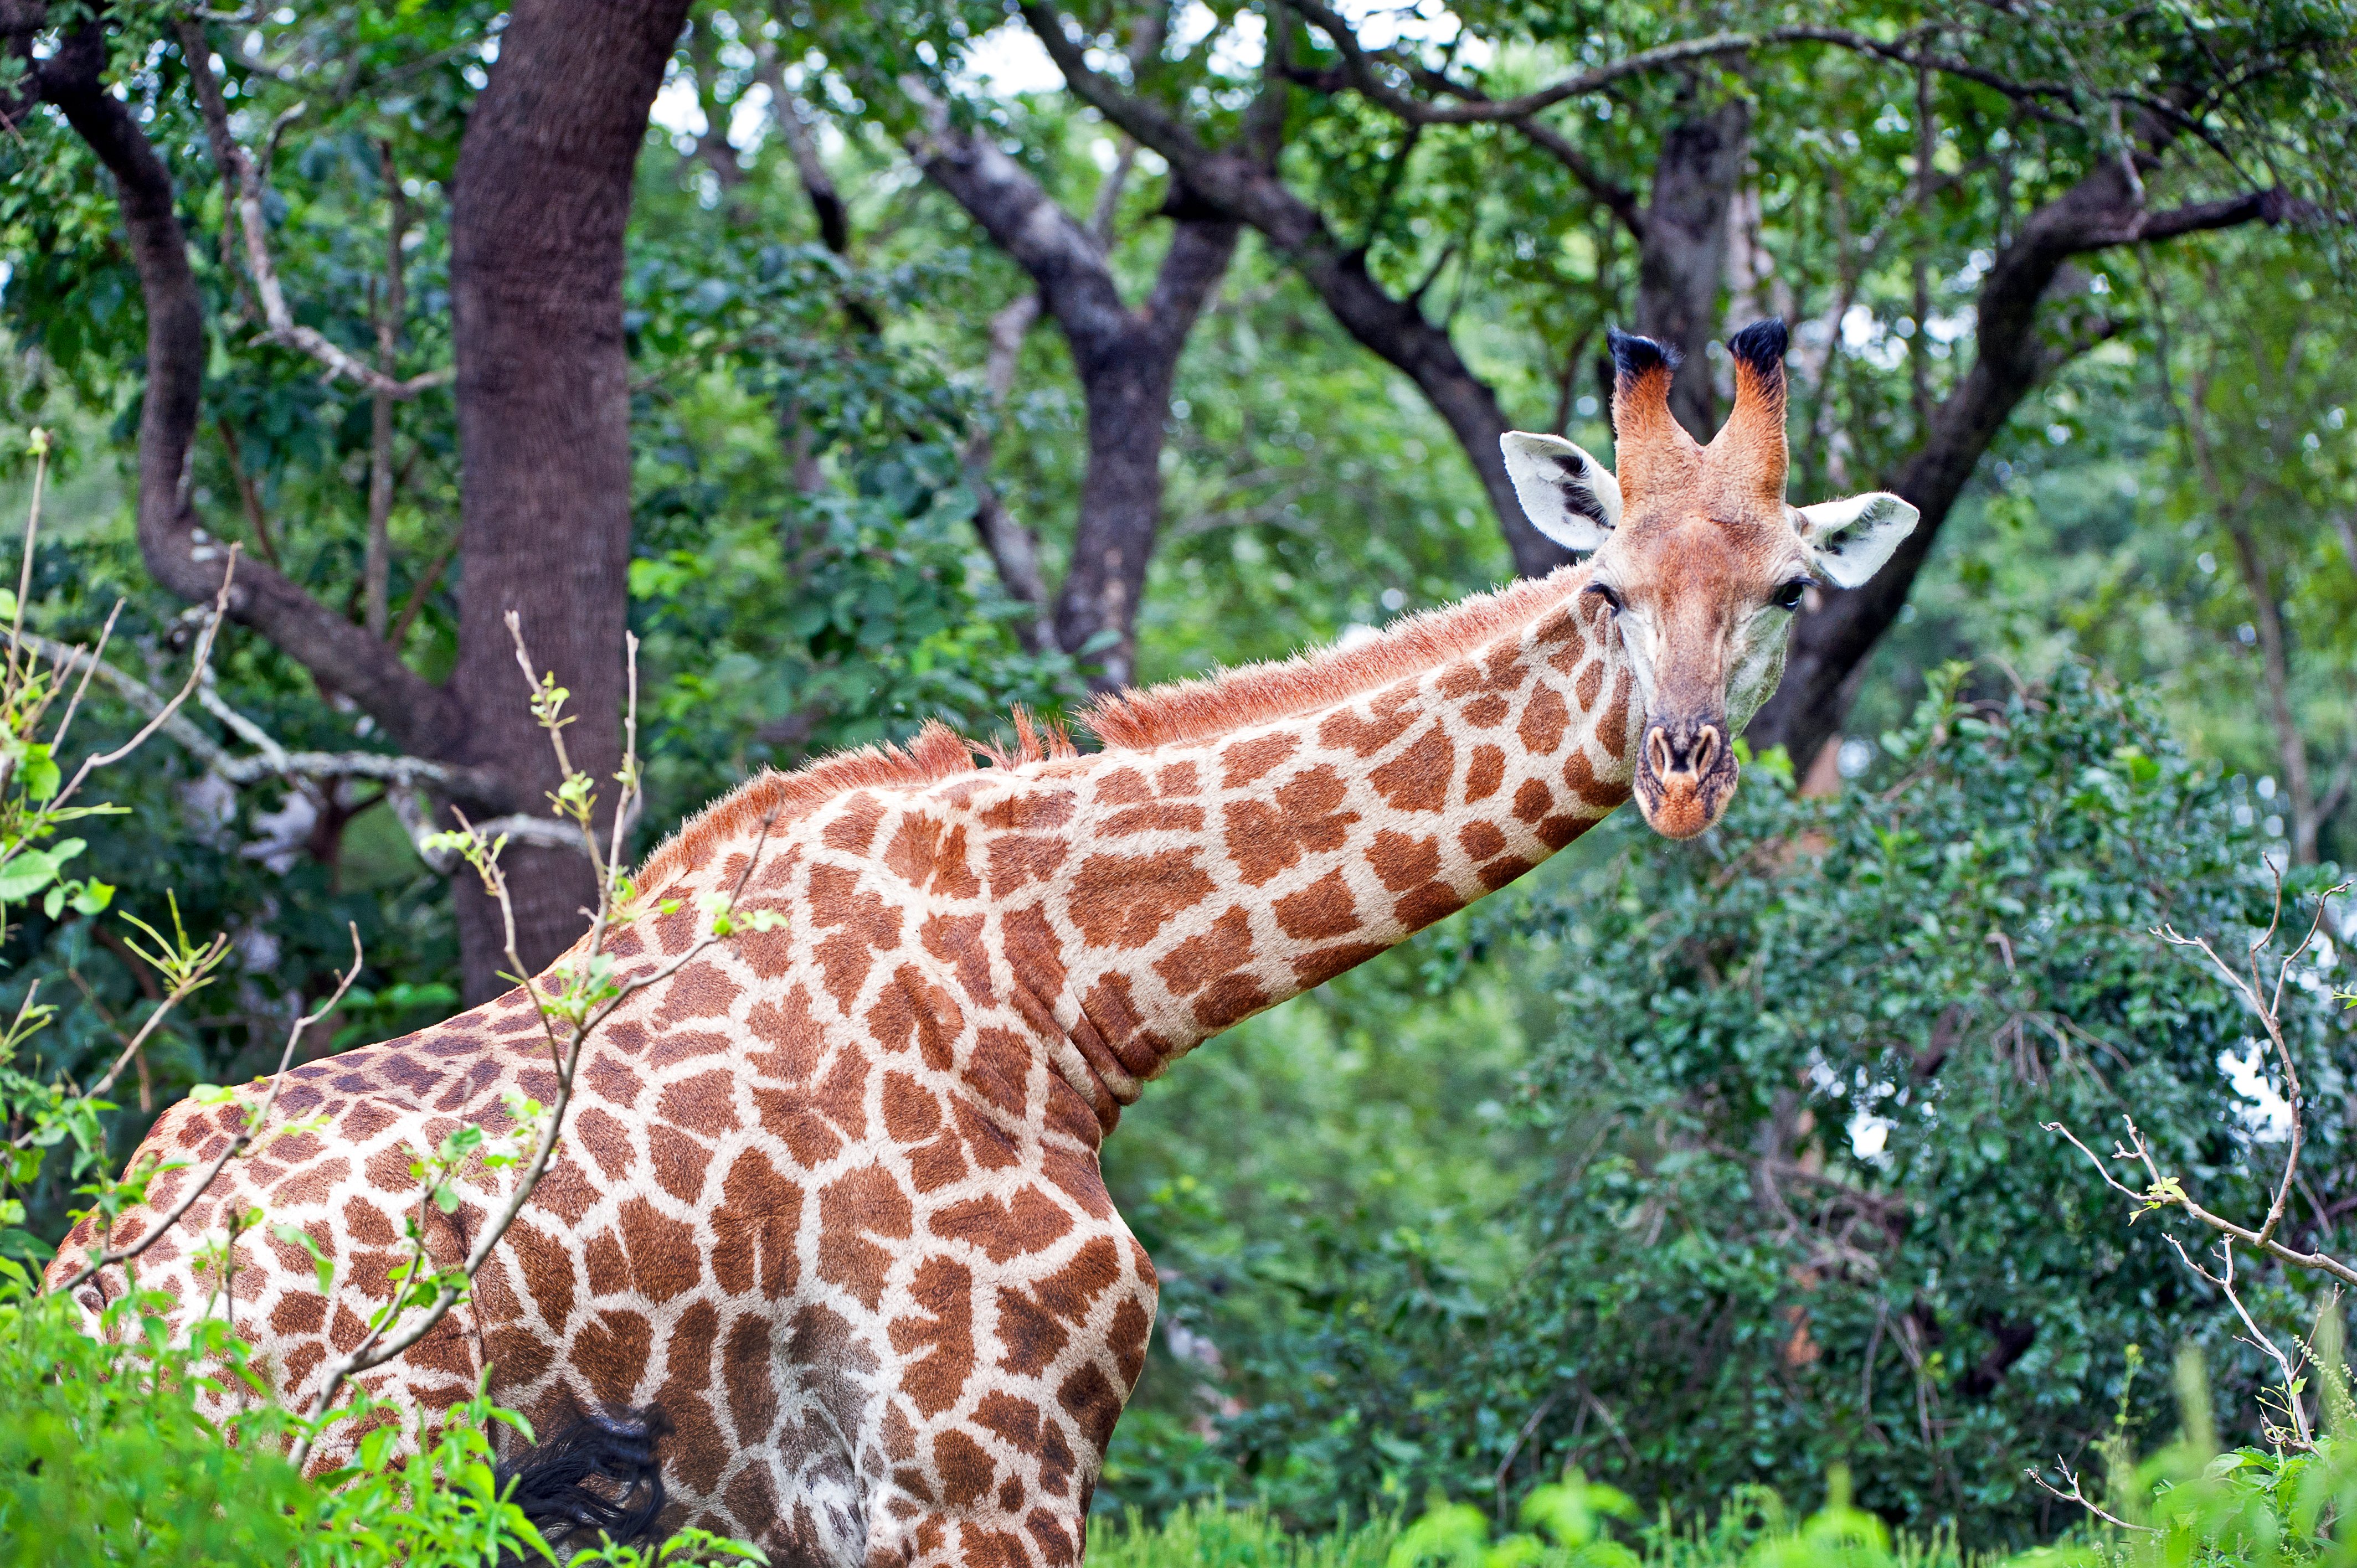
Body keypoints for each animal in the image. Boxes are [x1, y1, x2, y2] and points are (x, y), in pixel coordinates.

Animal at [49, 320, 1917, 1565]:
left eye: (1784, 592)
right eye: (1604, 587)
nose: (1680, 769)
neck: (1068, 985)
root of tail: (87, 1306)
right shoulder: (984, 1464)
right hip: (357, 1488)